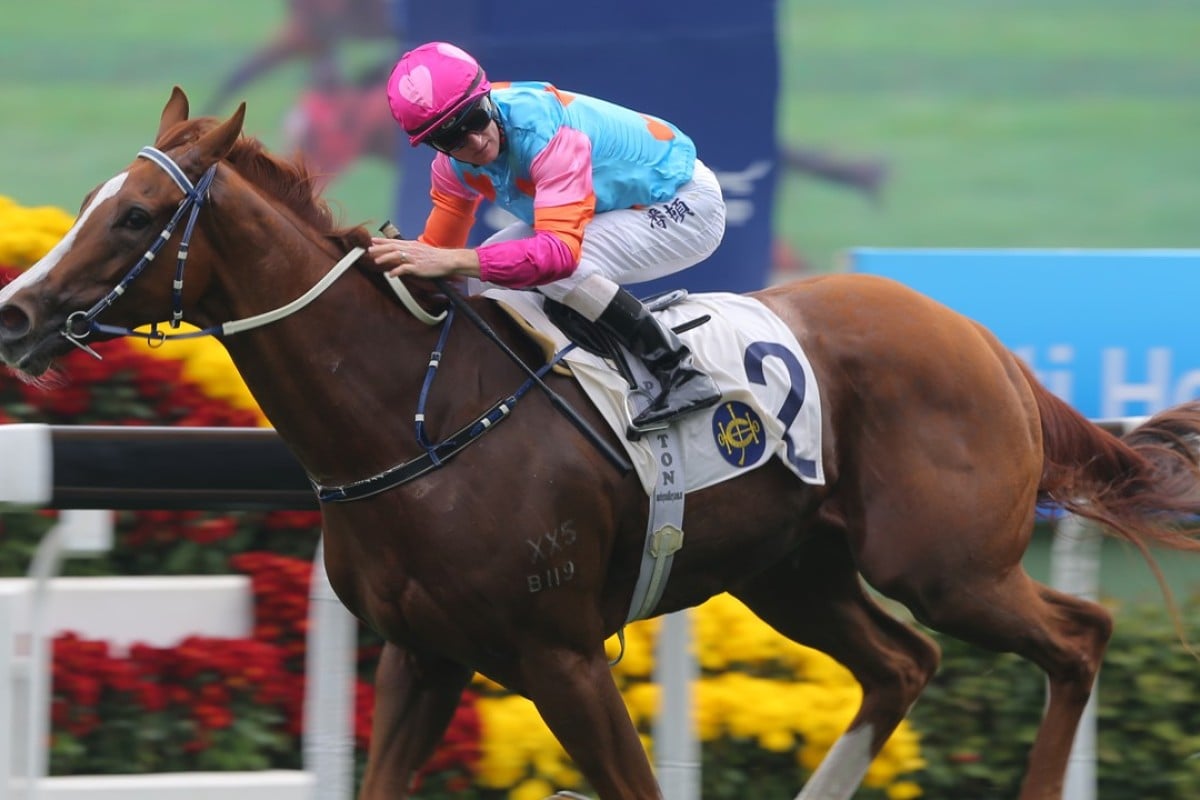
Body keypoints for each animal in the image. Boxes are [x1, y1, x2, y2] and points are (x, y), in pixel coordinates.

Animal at [2, 87, 1200, 800]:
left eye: (137, 214)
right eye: (90, 197)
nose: (14, 313)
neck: (412, 420)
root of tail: (981, 338)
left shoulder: (564, 659)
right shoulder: (422, 656)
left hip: (944, 563)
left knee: (1079, 635)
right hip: (793, 568)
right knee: (904, 662)